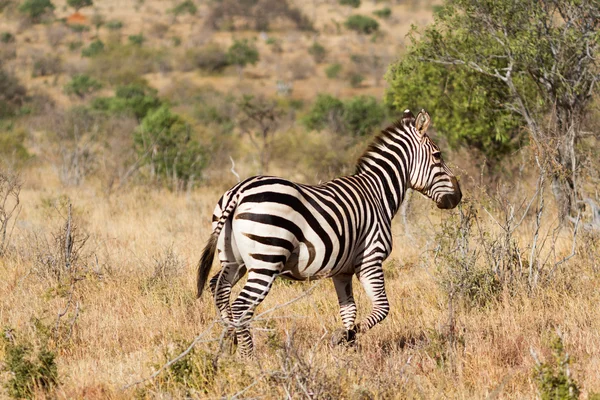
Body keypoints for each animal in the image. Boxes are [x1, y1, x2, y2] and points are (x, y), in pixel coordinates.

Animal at [198, 108, 464, 356]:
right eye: (438, 156)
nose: (459, 196)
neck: (378, 193)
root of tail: (239, 191)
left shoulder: (342, 272)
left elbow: (349, 310)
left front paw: (349, 352)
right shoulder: (371, 259)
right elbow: (382, 308)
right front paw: (344, 338)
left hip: (235, 260)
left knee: (218, 288)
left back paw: (229, 341)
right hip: (267, 260)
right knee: (242, 306)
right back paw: (247, 356)